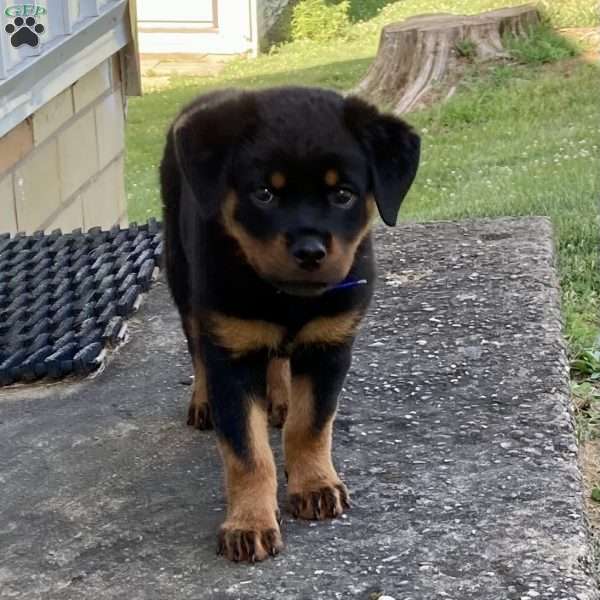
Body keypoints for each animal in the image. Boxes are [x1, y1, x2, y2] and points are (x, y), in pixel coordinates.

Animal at [162, 85, 420, 564]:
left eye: (343, 194)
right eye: (264, 193)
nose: (310, 252)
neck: (286, 299)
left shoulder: (330, 345)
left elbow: (310, 425)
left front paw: (316, 485)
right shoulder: (231, 354)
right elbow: (247, 453)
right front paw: (249, 524)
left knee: (279, 362)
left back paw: (279, 398)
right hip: (180, 273)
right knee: (197, 348)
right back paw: (203, 403)